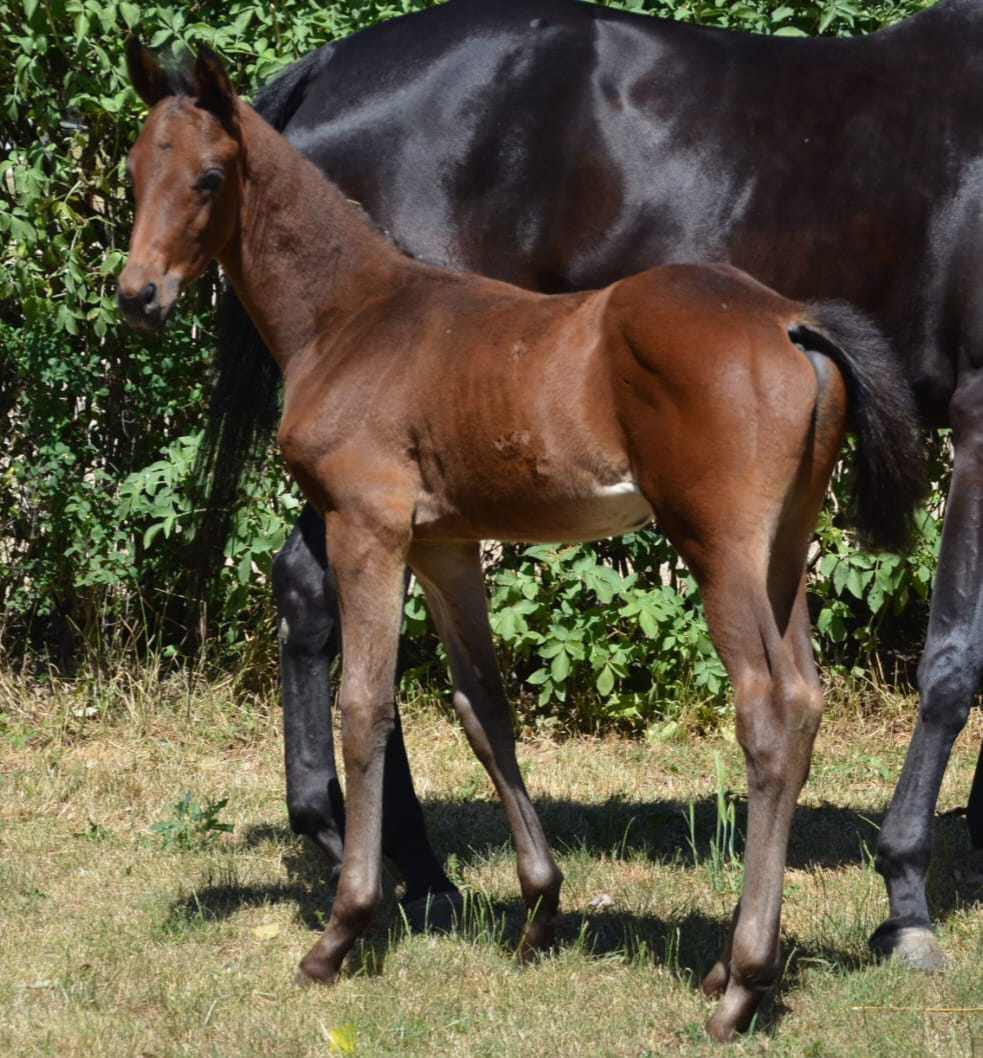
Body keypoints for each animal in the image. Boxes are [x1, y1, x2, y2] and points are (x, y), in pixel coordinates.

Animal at [117, 41, 923, 1041]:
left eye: (209, 178)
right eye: (135, 171)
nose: (137, 295)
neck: (350, 317)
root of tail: (789, 320)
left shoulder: (366, 527)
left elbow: (364, 706)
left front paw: (339, 935)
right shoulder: (445, 546)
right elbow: (482, 706)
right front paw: (539, 909)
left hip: (718, 546)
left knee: (768, 713)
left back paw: (740, 983)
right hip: (784, 550)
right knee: (807, 699)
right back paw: (722, 969)